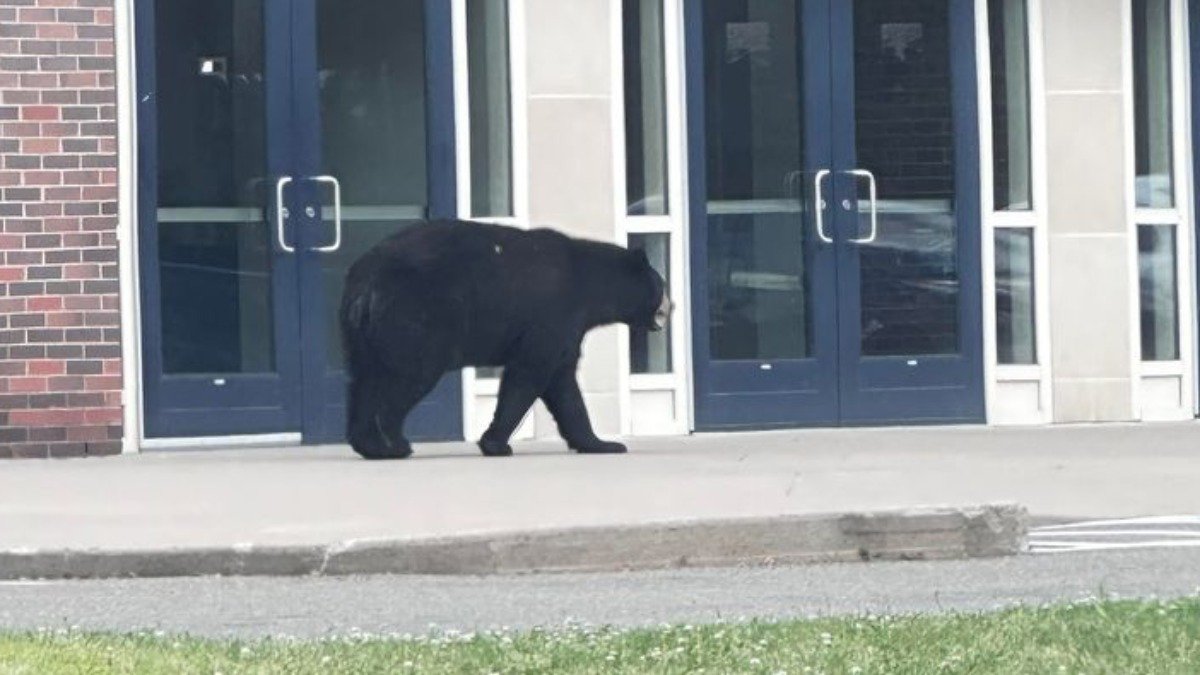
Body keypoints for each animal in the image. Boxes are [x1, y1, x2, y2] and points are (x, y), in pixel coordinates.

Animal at [339, 219, 673, 460]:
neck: (590, 286)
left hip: (362, 333)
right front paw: (496, 444)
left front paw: (601, 443)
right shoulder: (552, 315)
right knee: (409, 377)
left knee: (364, 381)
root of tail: (367, 283)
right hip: (417, 317)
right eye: (662, 284)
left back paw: (371, 446)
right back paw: (396, 444)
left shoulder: (567, 328)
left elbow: (564, 386)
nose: (672, 307)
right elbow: (528, 374)